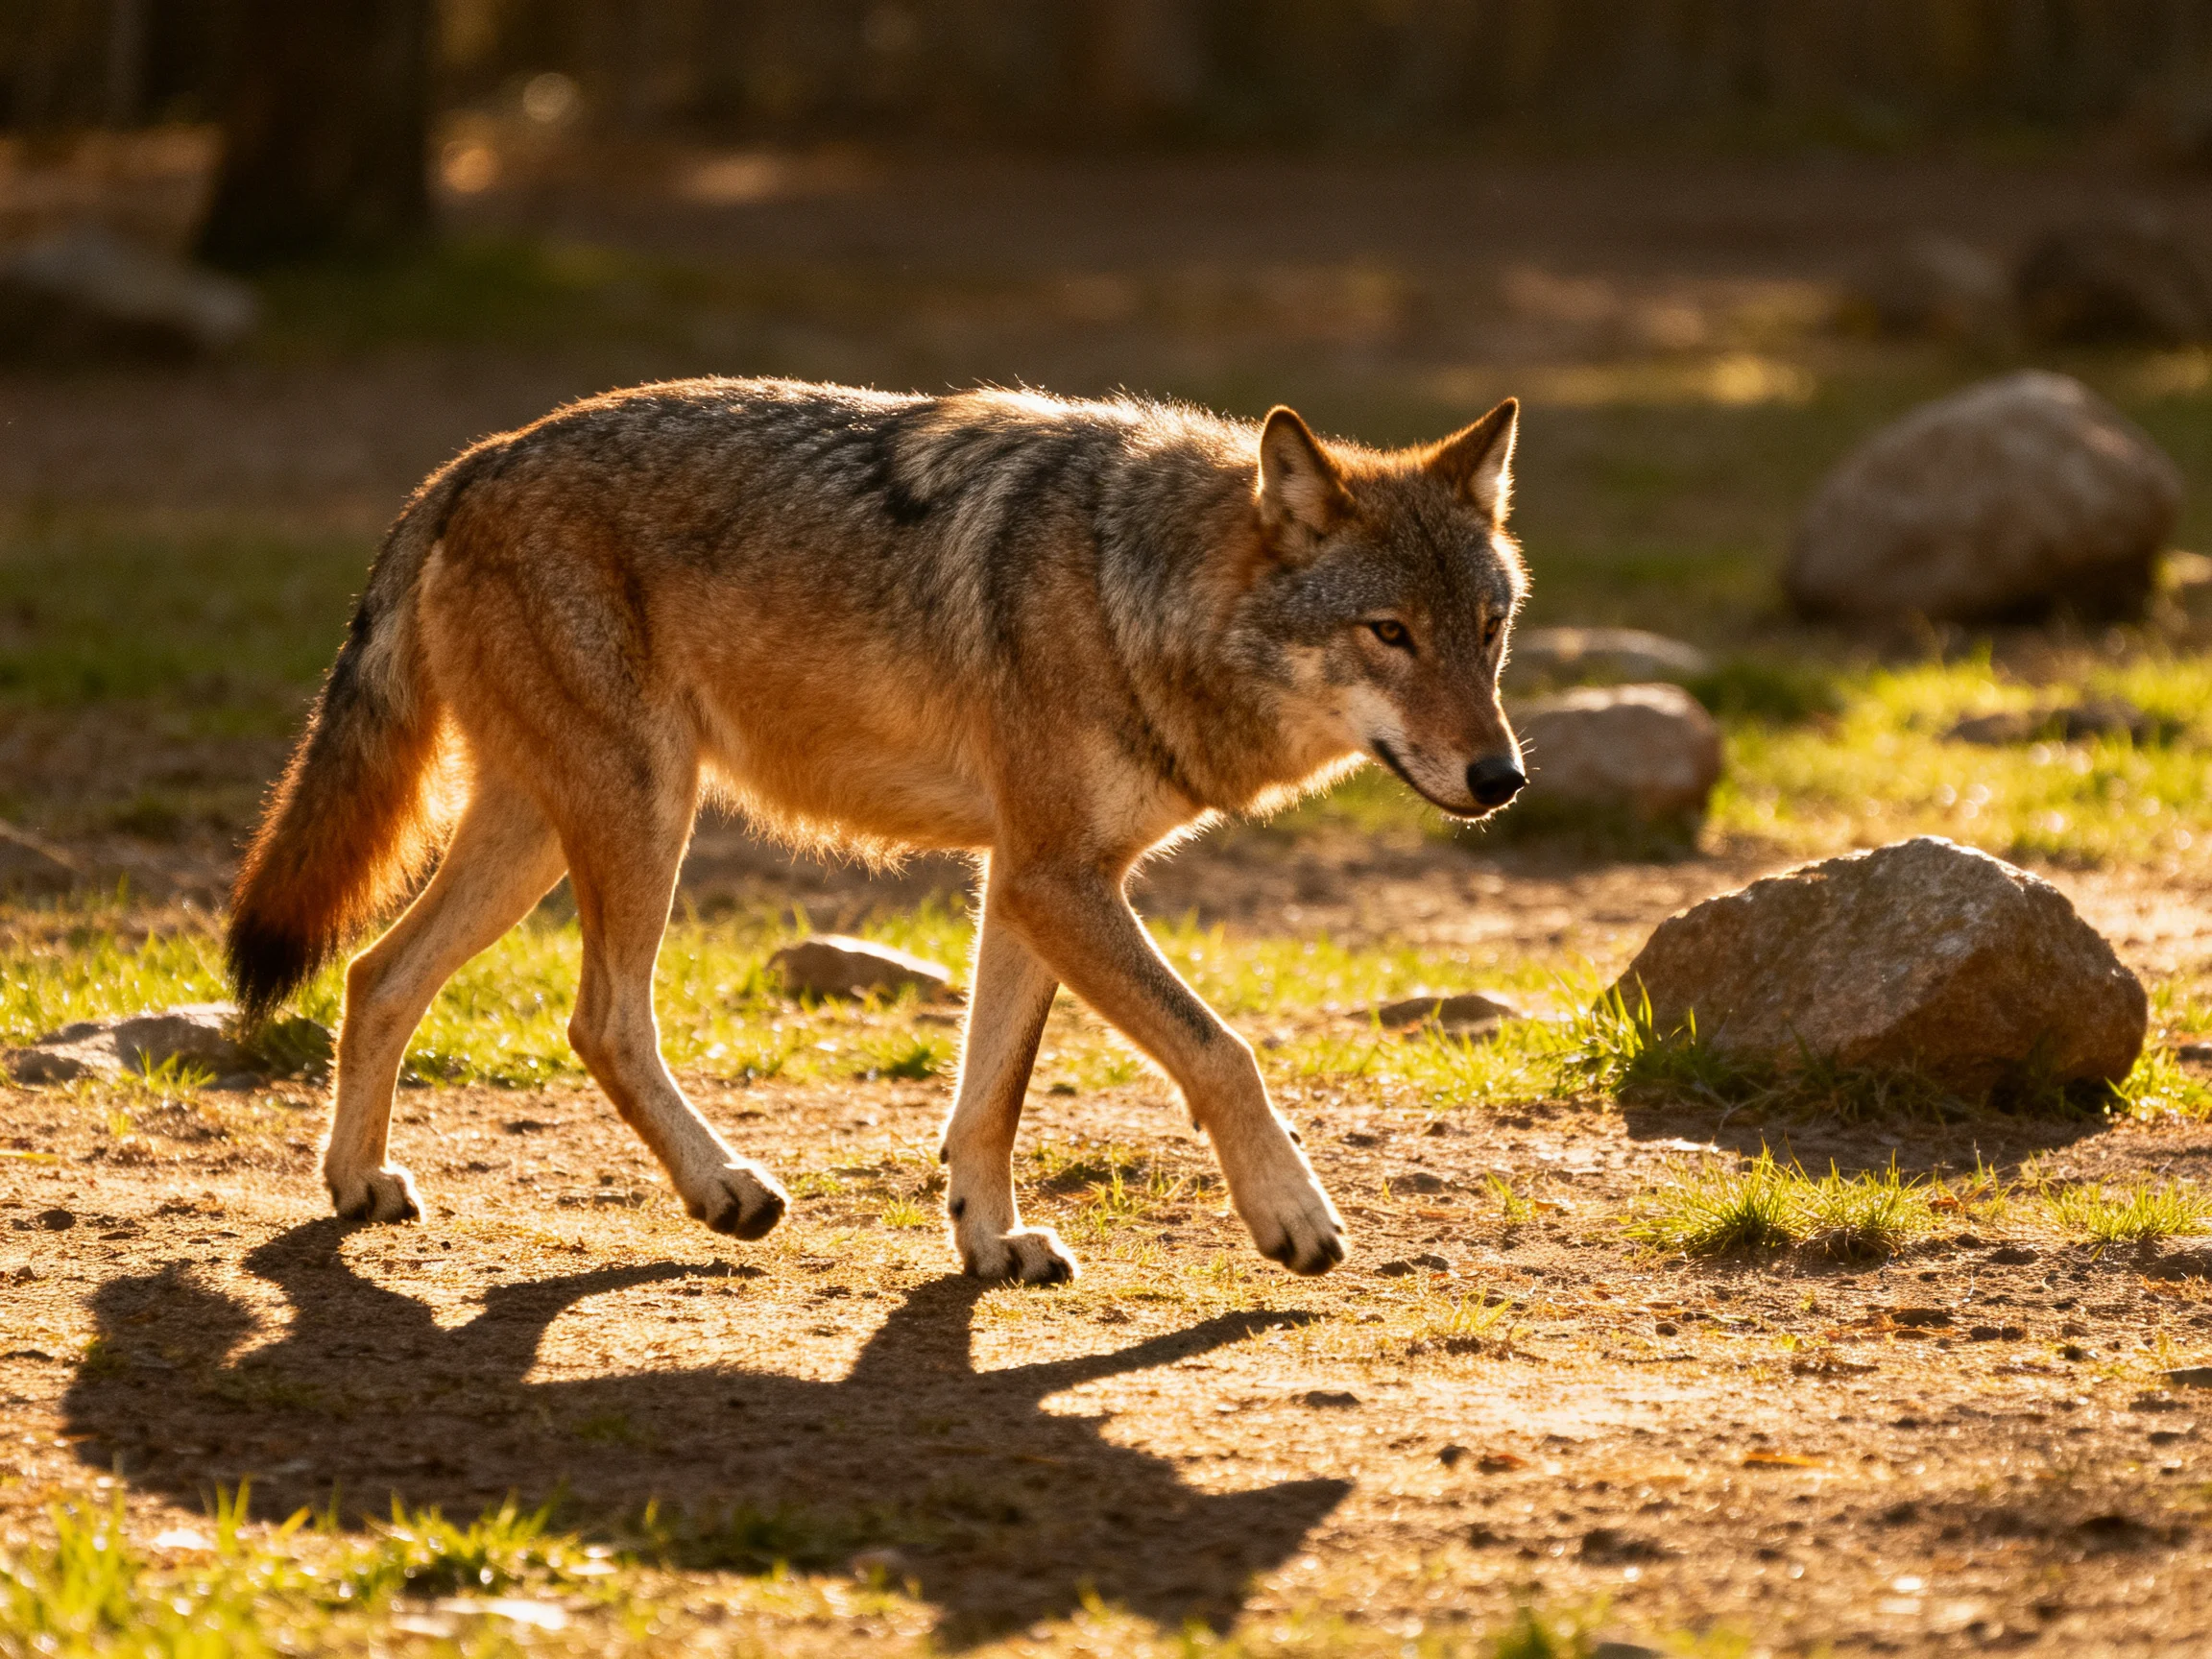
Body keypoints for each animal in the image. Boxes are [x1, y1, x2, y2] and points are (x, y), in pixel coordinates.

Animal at [226, 377, 1527, 1283]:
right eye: (1388, 632)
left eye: (1488, 627)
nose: (1504, 777)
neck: (1134, 595)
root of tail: (474, 460)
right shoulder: (1058, 881)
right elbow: (1222, 1051)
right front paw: (1292, 1215)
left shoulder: (1027, 881)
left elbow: (991, 1096)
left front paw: (990, 1243)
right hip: (641, 816)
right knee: (599, 1019)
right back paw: (725, 1190)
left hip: (540, 838)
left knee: (377, 975)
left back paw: (358, 1184)